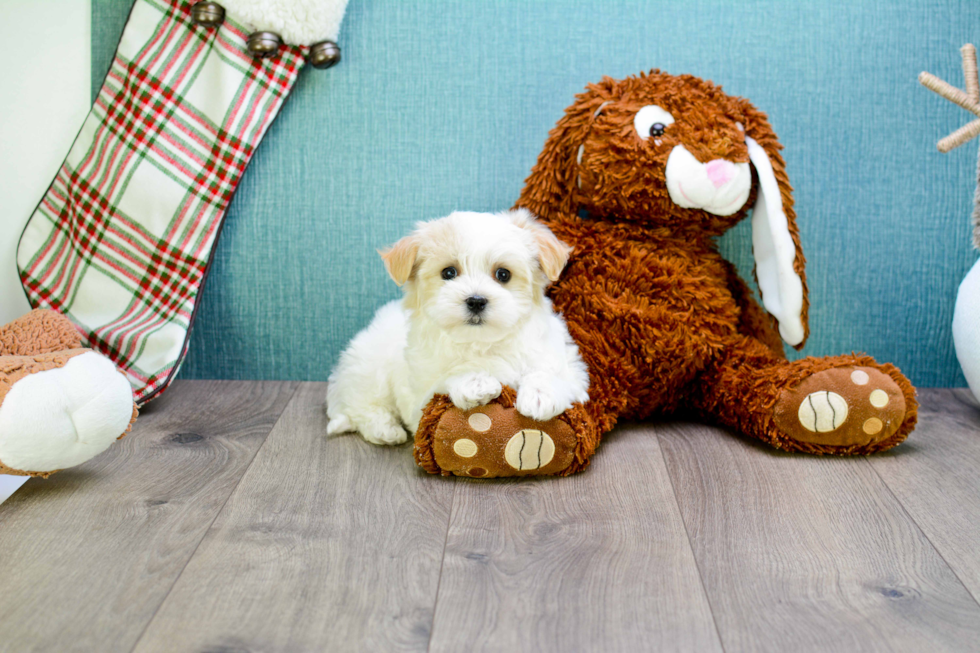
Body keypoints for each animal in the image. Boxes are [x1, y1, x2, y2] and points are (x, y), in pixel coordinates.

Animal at [328, 209, 588, 444]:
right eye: (449, 272)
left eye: (503, 274)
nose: (476, 300)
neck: (482, 342)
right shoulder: (419, 398)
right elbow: (444, 380)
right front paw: (475, 381)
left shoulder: (569, 366)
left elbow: (552, 371)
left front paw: (540, 394)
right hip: (368, 368)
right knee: (363, 405)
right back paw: (385, 429)